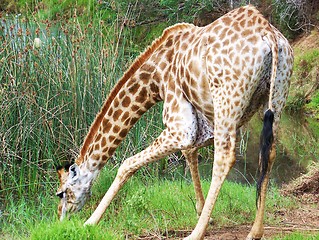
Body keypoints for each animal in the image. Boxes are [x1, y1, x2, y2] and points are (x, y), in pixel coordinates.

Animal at [55, 4, 296, 239]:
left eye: (61, 192)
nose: (60, 218)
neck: (154, 79)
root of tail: (268, 34)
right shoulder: (201, 126)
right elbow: (190, 154)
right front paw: (203, 212)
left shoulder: (181, 127)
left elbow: (126, 164)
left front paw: (90, 222)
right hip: (278, 94)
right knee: (269, 152)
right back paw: (255, 231)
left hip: (228, 99)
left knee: (225, 157)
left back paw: (195, 234)